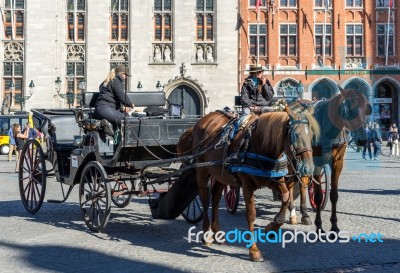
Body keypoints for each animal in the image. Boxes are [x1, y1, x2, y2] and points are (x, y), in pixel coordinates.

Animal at [177, 105, 320, 260]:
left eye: (312, 136)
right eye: (296, 135)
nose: (308, 168)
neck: (260, 144)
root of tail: (199, 123)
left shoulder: (275, 179)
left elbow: (287, 197)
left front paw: (273, 226)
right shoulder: (247, 185)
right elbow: (251, 215)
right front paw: (254, 250)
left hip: (221, 174)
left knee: (215, 197)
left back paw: (217, 232)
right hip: (202, 171)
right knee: (205, 198)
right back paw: (206, 235)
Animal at [288, 86, 372, 234]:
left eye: (366, 108)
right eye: (348, 108)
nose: (362, 140)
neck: (328, 129)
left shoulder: (338, 162)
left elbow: (333, 195)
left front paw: (334, 226)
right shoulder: (316, 162)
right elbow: (318, 196)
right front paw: (319, 226)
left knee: (303, 182)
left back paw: (305, 214)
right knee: (292, 183)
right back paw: (294, 214)